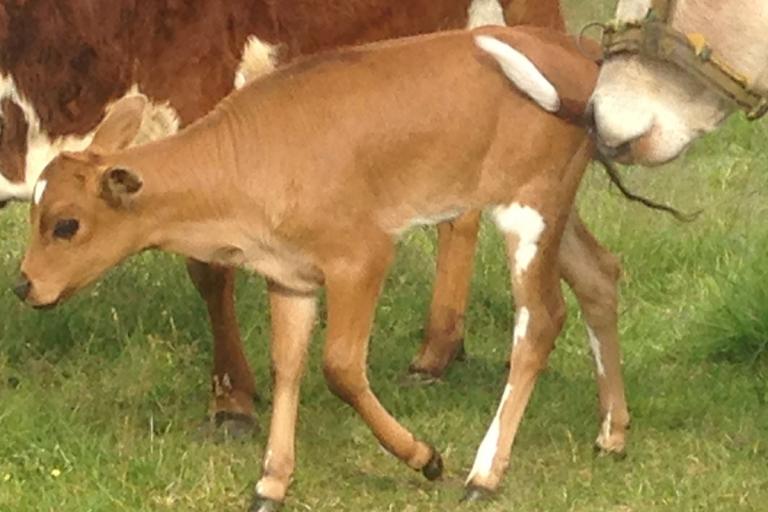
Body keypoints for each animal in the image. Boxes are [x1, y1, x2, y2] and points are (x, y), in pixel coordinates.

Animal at [18, 27, 624, 508]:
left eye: (65, 224)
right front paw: (271, 482)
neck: (250, 163)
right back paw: (613, 434)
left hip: (531, 204)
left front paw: (423, 457)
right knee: (600, 275)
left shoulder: (362, 256)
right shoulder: (289, 277)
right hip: (554, 205)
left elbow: (340, 367)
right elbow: (287, 367)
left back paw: (485, 474)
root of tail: (577, 52)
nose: (25, 284)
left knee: (540, 318)